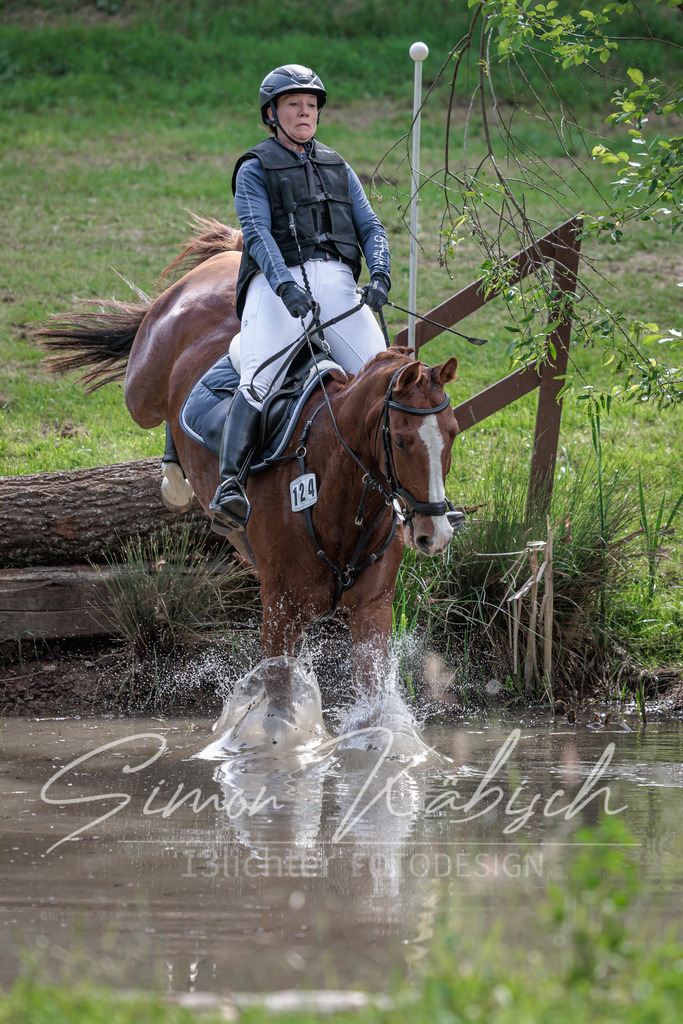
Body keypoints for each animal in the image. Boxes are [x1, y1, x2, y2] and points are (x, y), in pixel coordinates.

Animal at [37, 218, 459, 737]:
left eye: (452, 434)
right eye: (400, 441)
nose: (433, 533)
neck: (339, 496)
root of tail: (227, 258)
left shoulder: (373, 612)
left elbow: (375, 711)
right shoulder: (279, 607)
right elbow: (278, 711)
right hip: (144, 383)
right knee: (160, 404)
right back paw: (175, 480)